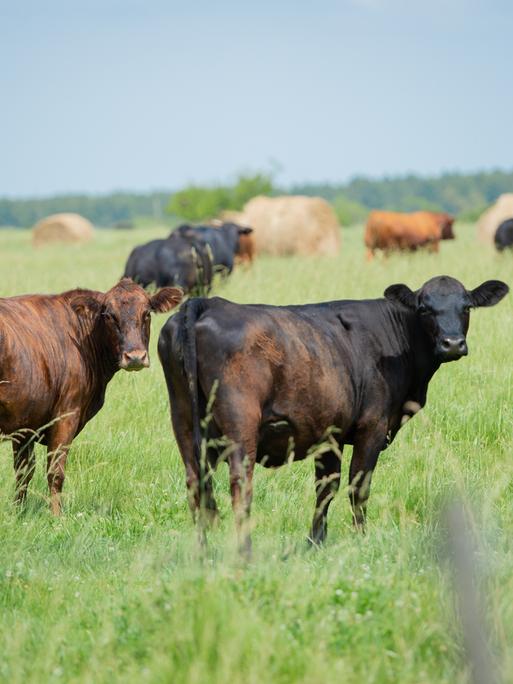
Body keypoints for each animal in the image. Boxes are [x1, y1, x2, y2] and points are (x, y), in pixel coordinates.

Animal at [0, 278, 182, 512]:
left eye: (147, 313)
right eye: (109, 316)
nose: (135, 356)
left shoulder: (25, 424)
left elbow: (24, 472)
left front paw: (18, 511)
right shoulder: (66, 415)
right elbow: (55, 472)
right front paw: (57, 515)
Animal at [158, 274, 506, 552]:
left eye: (466, 307)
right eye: (424, 309)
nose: (452, 343)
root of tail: (208, 303)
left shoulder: (329, 435)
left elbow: (326, 488)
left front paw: (315, 542)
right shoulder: (372, 428)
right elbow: (358, 488)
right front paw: (361, 538)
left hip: (183, 420)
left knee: (196, 485)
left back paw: (202, 553)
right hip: (240, 425)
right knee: (240, 487)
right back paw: (244, 552)